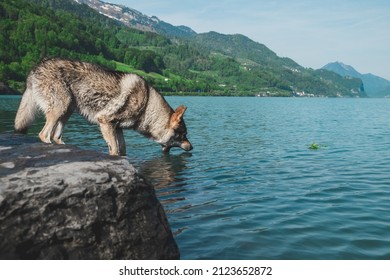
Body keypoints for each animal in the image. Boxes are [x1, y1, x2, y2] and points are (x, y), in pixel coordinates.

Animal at [14, 58, 193, 156]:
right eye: (183, 135)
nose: (192, 147)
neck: (147, 106)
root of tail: (34, 69)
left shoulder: (117, 128)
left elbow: (122, 151)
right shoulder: (105, 121)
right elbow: (115, 151)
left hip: (67, 111)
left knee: (56, 136)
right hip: (60, 108)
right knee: (44, 135)